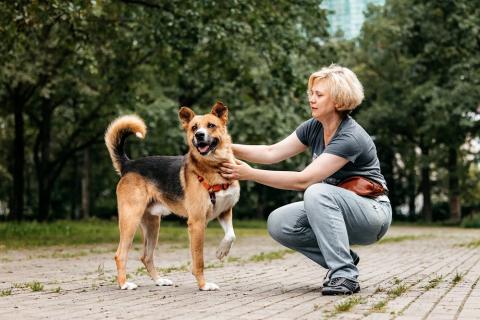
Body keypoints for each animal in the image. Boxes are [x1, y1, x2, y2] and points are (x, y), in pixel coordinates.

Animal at [105, 102, 240, 290]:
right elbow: (199, 260)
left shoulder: (225, 212)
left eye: (211, 125)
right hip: (130, 219)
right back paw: (124, 284)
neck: (214, 167)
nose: (199, 135)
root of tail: (129, 164)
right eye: (194, 128)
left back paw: (159, 280)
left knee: (146, 256)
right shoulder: (197, 223)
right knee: (120, 254)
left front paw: (222, 250)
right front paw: (203, 285)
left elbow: (231, 235)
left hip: (153, 224)